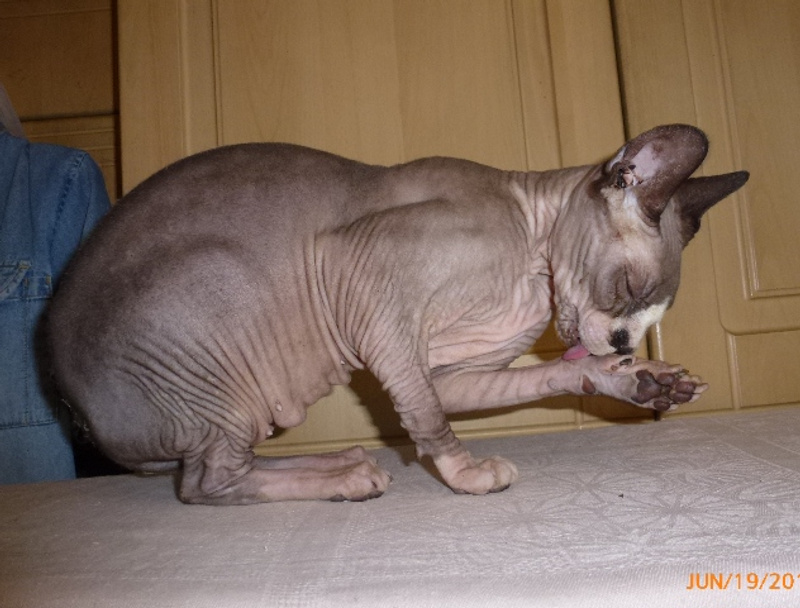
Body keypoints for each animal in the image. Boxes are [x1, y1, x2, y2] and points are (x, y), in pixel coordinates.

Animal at [49, 124, 748, 504]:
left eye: (653, 314)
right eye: (625, 287)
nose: (625, 342)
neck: (531, 266)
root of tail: (70, 400)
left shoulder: (445, 369)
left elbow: (506, 382)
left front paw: (634, 381)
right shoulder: (358, 280)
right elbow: (427, 418)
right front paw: (465, 474)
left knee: (224, 466)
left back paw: (345, 466)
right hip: (224, 292)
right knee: (206, 482)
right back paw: (345, 479)